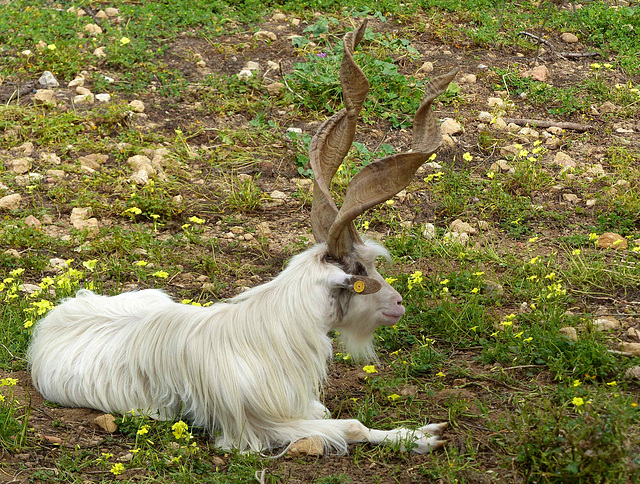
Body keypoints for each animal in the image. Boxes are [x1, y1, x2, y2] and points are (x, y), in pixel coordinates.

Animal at [30, 21, 458, 454]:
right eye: (361, 272)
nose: (399, 304)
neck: (274, 331)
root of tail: (56, 316)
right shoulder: (261, 426)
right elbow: (352, 426)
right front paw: (422, 436)